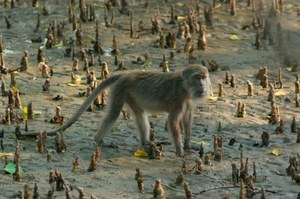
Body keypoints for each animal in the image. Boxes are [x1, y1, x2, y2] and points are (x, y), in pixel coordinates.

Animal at [47, 65, 211, 157]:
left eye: (204, 77)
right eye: (197, 77)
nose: (203, 85)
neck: (185, 87)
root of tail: (125, 74)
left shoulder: (188, 101)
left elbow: (187, 119)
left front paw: (188, 145)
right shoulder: (178, 99)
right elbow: (173, 121)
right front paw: (180, 150)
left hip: (128, 93)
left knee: (139, 113)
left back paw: (146, 142)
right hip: (120, 89)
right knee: (113, 114)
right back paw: (99, 140)